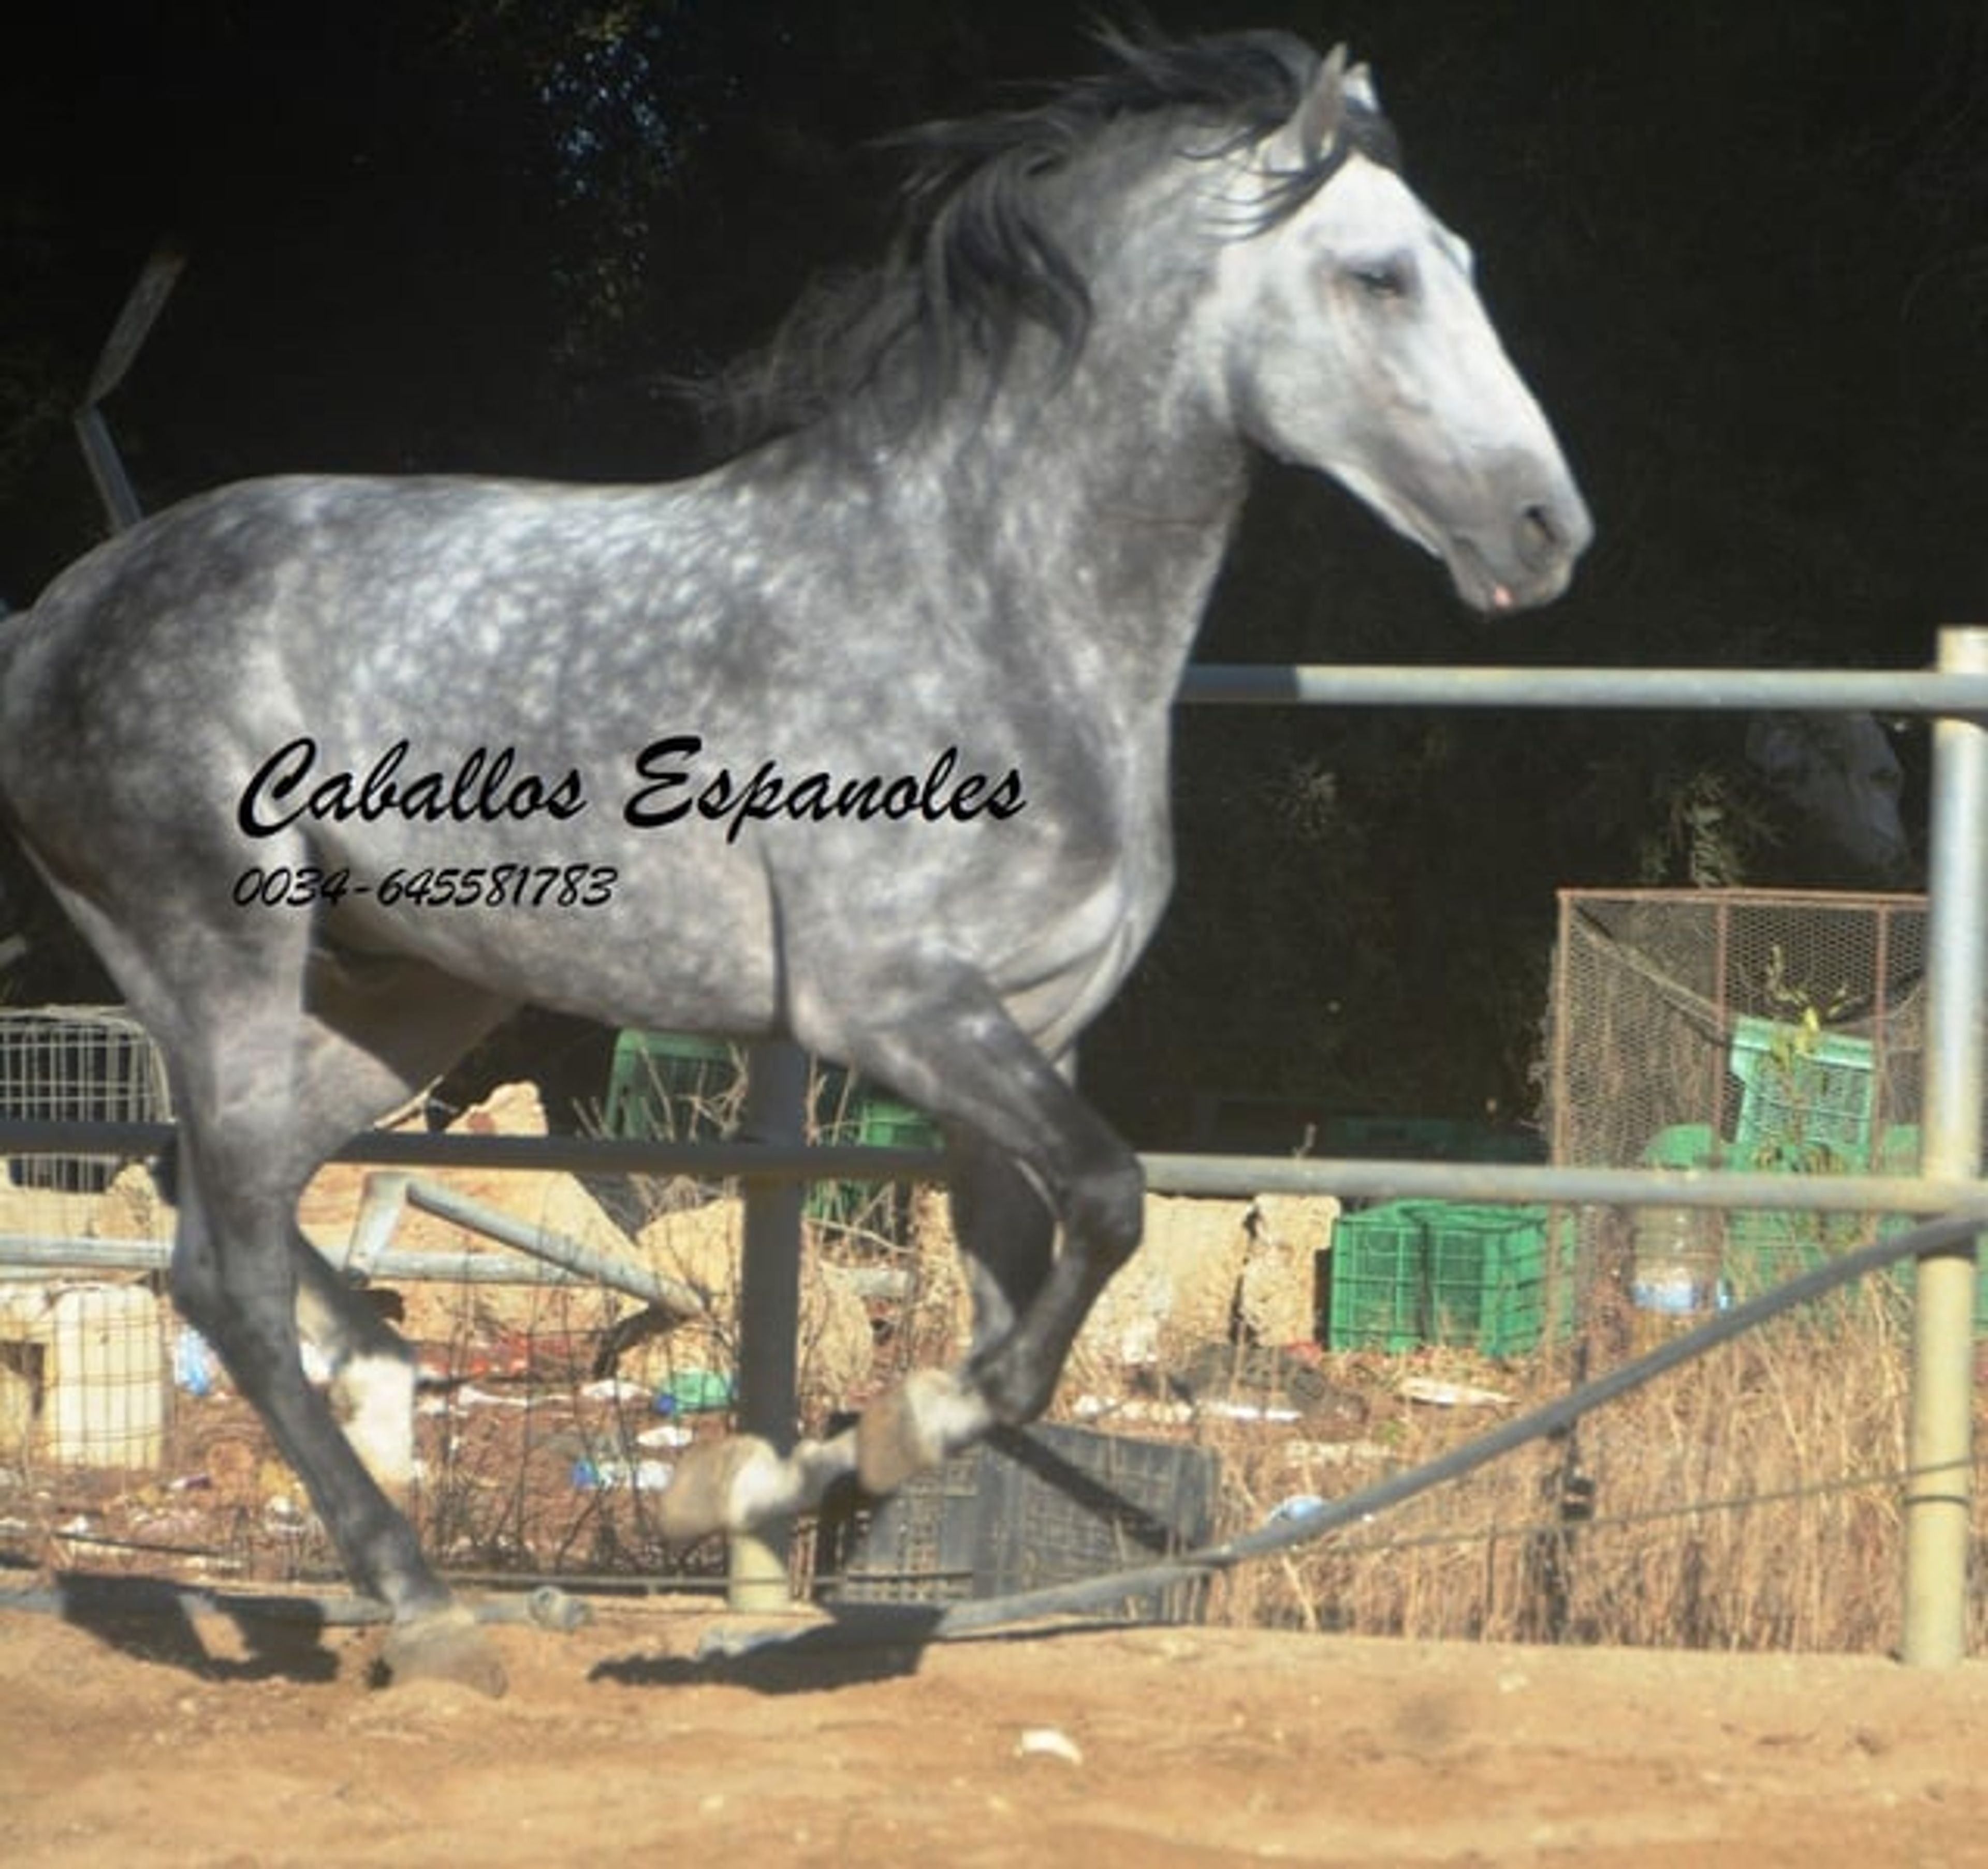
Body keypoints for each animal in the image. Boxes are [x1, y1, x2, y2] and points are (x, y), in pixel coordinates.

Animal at [0, 29, 1590, 1692]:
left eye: (1456, 262)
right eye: (1377, 277)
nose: (1545, 528)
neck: (983, 605)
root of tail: (52, 617)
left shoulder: (1029, 1034)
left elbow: (1018, 1331)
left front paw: (746, 1482)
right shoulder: (890, 1004)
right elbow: (1106, 1208)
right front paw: (805, 1466)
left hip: (407, 996)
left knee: (219, 1210)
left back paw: (395, 1424)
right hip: (219, 949)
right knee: (222, 1266)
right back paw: (425, 1599)